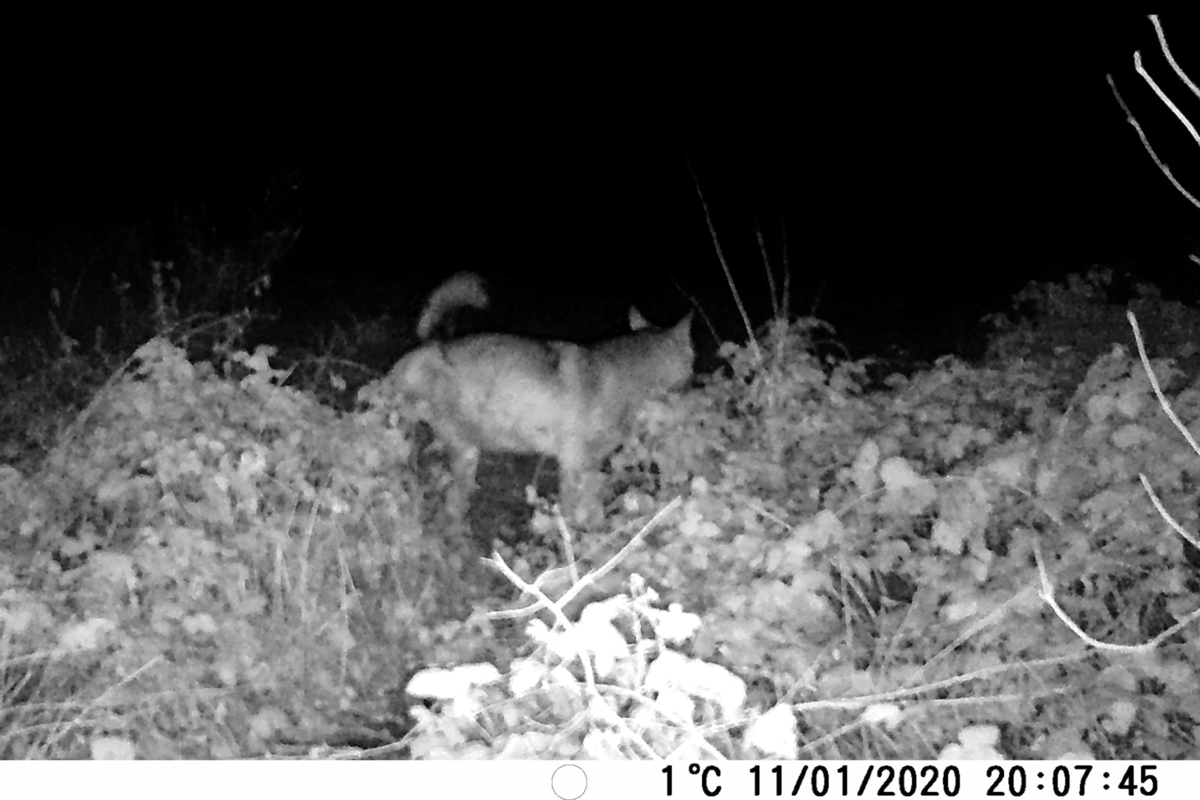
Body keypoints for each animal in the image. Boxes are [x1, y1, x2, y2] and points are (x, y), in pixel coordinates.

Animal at [375, 272, 694, 523]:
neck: (623, 380)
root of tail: (433, 343)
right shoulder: (573, 464)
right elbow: (575, 514)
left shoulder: (590, 465)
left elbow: (592, 511)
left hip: (466, 454)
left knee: (453, 505)